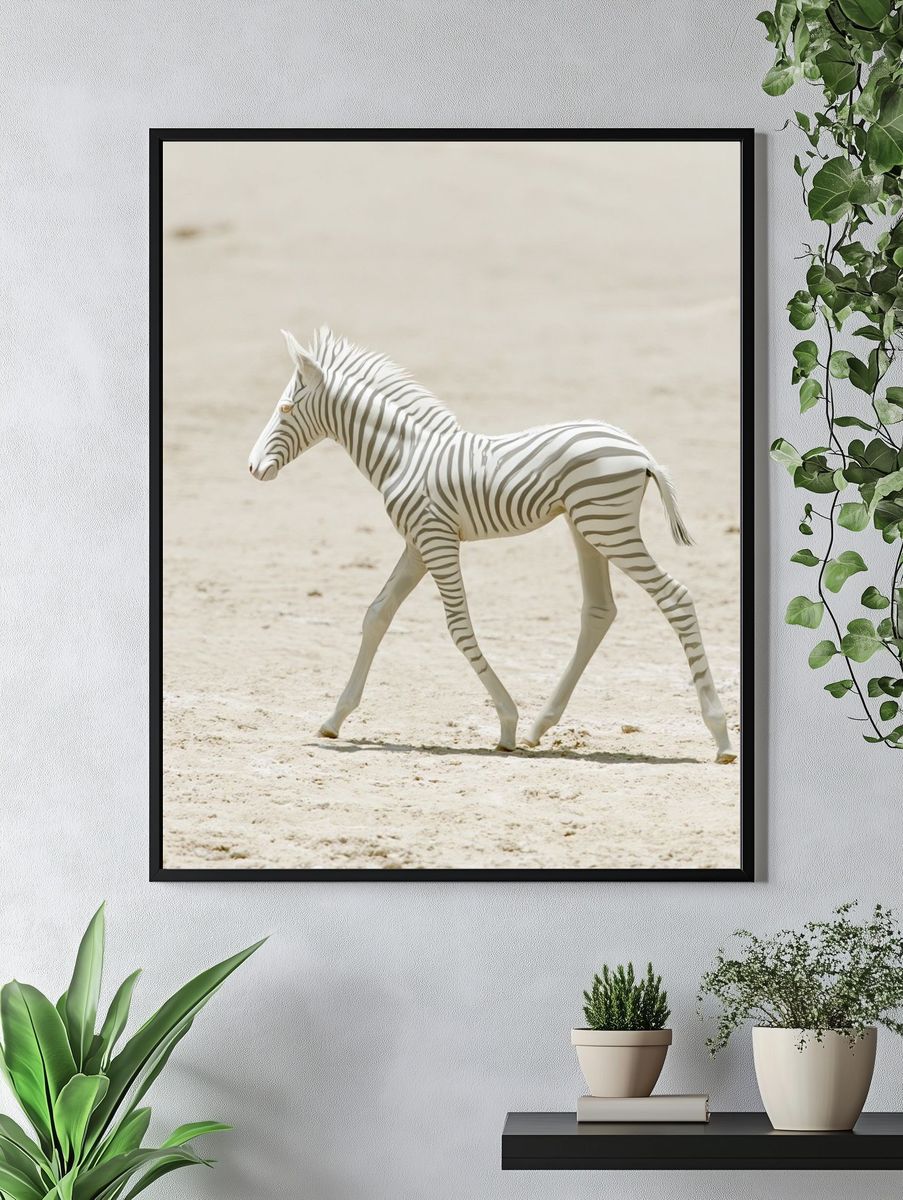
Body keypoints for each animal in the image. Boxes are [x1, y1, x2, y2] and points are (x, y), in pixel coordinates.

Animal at [248, 327, 736, 762]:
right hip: (587, 527)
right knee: (599, 611)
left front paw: (506, 723)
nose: (253, 468)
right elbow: (377, 614)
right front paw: (335, 718)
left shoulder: (436, 540)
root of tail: (641, 452)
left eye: (286, 407)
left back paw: (720, 737)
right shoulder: (417, 543)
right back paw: (542, 727)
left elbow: (458, 626)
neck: (406, 456)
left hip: (608, 528)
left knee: (676, 598)